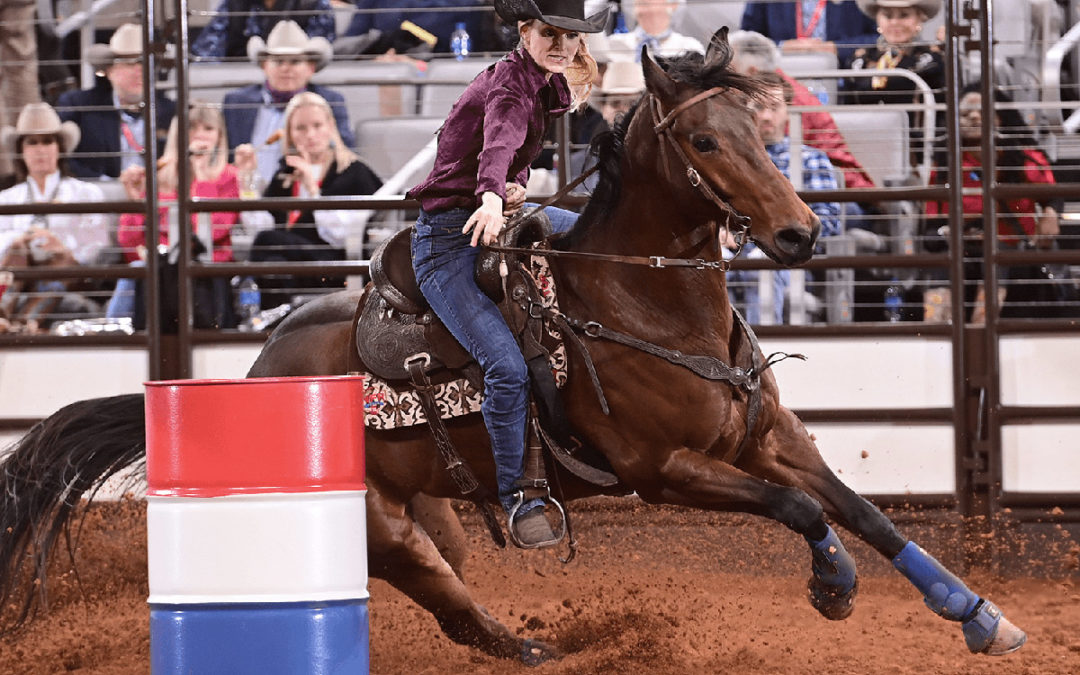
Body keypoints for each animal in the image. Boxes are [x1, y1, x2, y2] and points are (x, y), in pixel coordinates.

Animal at [0, 31, 1019, 665]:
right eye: (702, 138)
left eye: (762, 129)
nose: (803, 234)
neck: (647, 303)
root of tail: (255, 371)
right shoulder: (665, 469)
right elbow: (802, 511)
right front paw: (833, 587)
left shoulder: (771, 437)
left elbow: (864, 511)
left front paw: (980, 616)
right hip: (380, 526)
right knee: (451, 610)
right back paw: (540, 643)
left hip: (434, 509)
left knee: (453, 581)